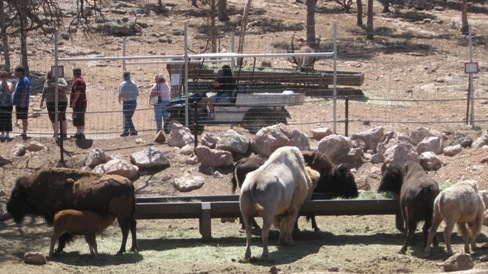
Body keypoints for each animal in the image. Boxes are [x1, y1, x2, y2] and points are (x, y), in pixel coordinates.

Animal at [6, 168, 137, 256]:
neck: (36, 189)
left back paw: (121, 251)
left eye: (16, 195)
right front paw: (59, 249)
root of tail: (129, 183)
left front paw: (58, 249)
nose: (8, 208)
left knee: (125, 230)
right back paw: (132, 248)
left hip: (122, 215)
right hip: (128, 214)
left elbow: (62, 236)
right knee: (132, 227)